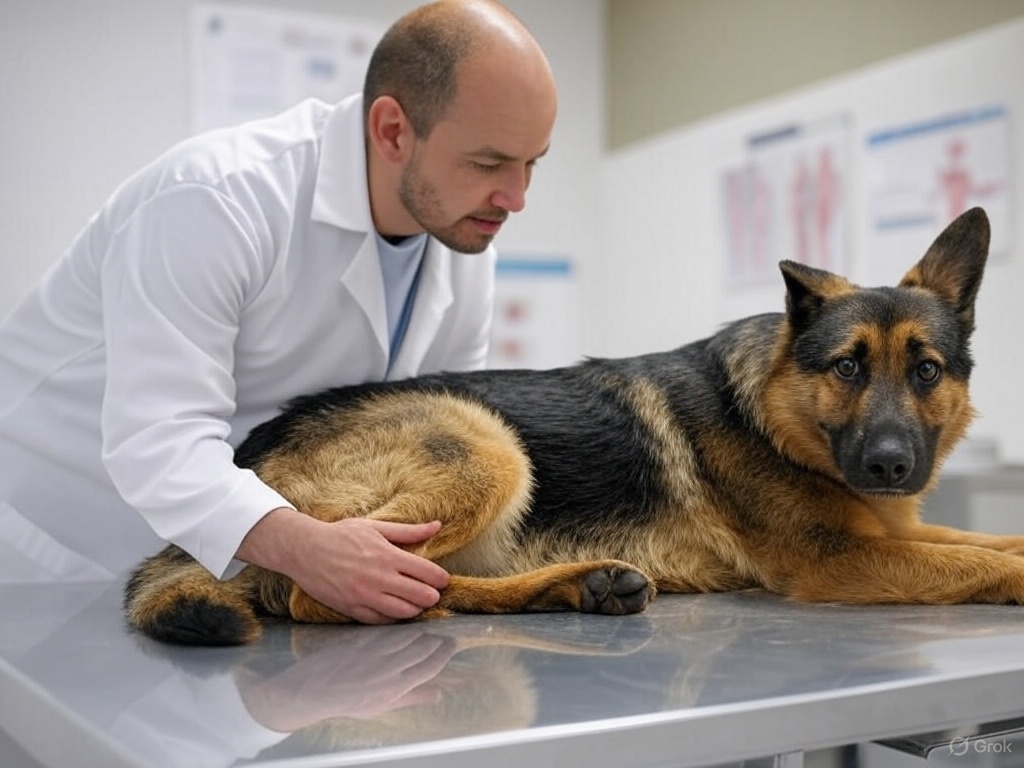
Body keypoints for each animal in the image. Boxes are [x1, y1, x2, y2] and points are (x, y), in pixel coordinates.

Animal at [123, 207, 1024, 647]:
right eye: (846, 368)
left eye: (926, 370)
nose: (892, 468)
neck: (772, 413)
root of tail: (250, 454)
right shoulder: (839, 558)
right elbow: (975, 564)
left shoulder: (889, 532)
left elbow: (986, 543)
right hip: (484, 448)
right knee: (338, 590)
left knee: (418, 581)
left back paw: (580, 587)